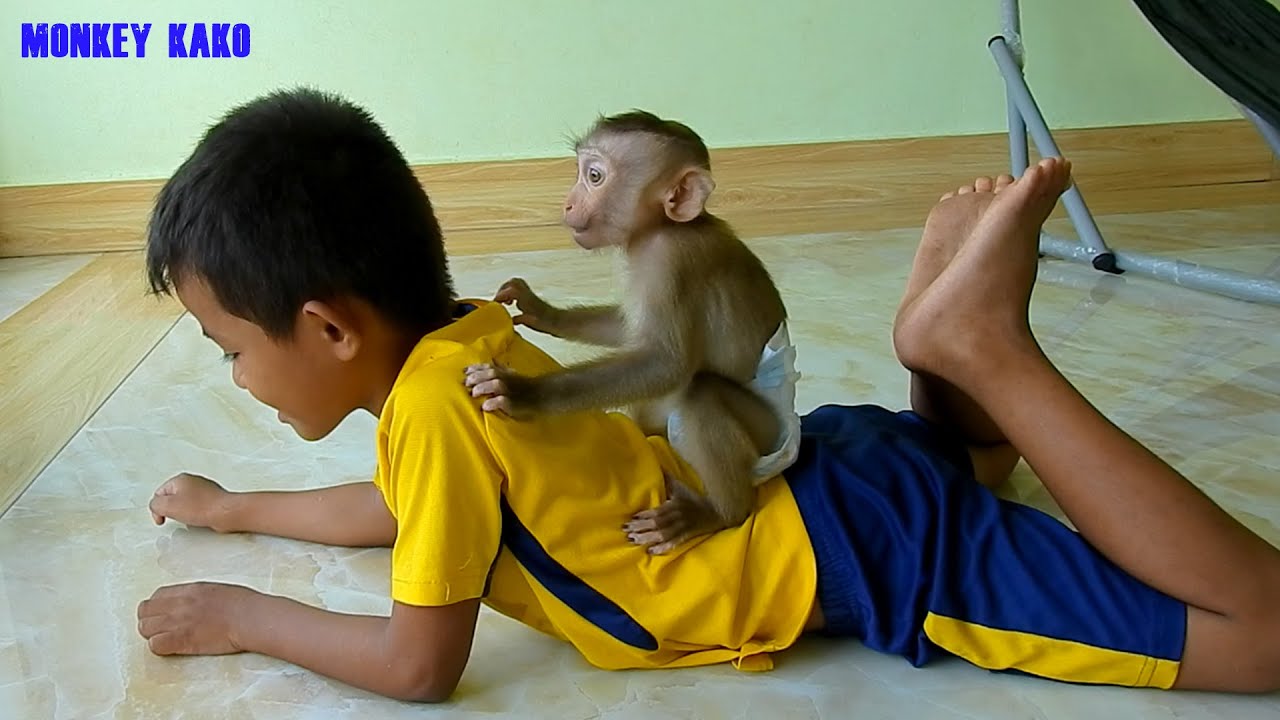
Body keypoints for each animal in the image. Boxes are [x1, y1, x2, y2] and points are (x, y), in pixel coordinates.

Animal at [463, 110, 802, 554]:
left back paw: (718, 512)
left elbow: (665, 364)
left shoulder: (671, 263)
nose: (567, 201)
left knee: (701, 391)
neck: (657, 229)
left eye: (594, 176)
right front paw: (543, 312)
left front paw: (523, 393)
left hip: (766, 433)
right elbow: (628, 332)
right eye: (581, 172)